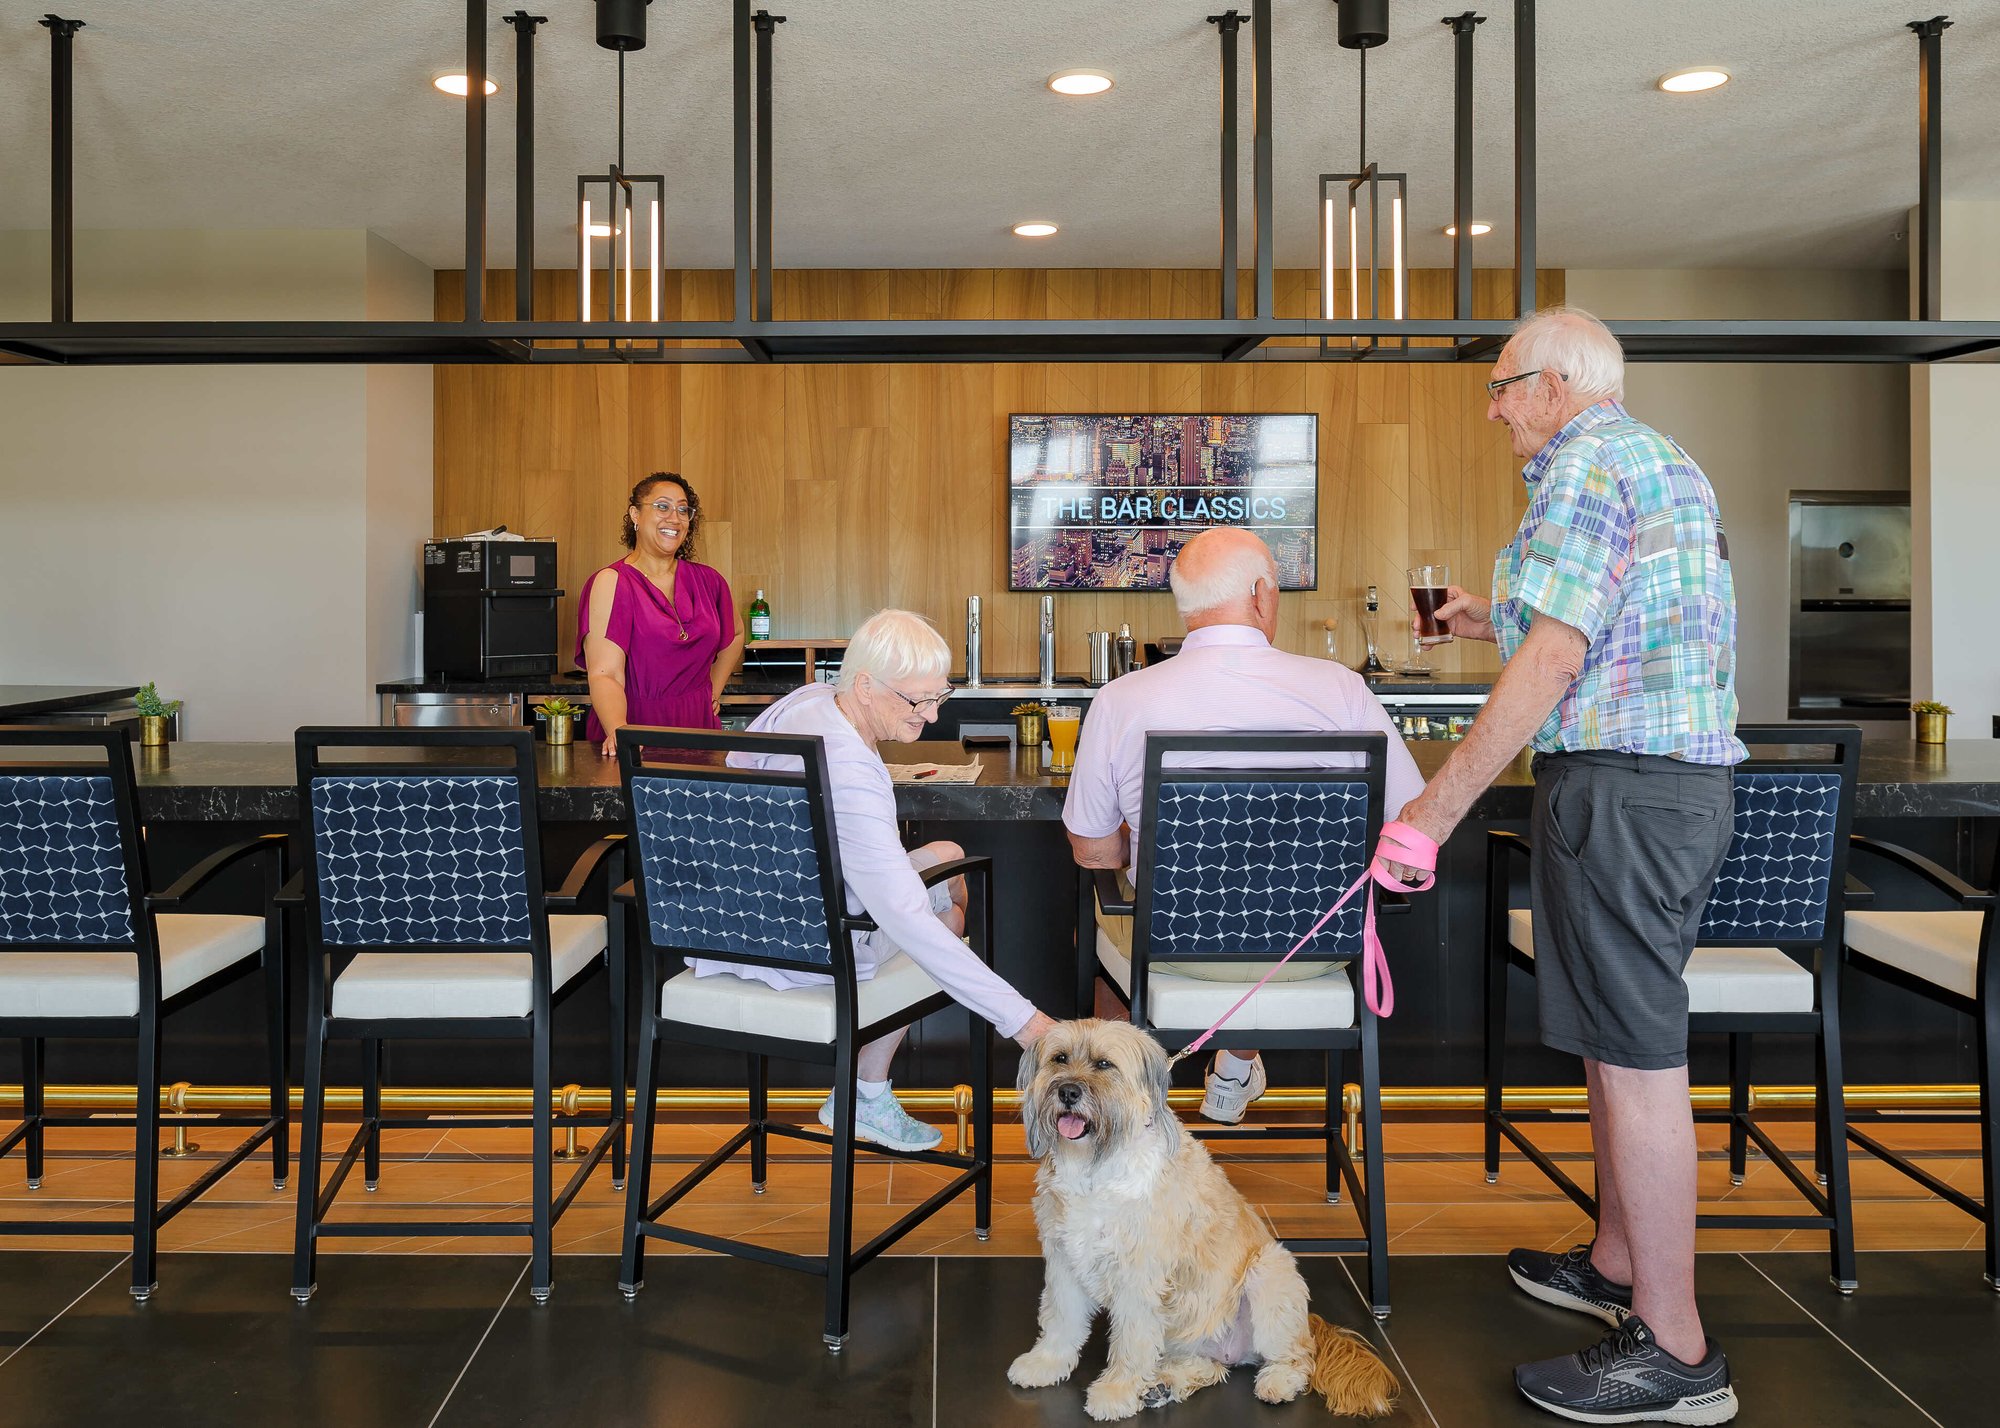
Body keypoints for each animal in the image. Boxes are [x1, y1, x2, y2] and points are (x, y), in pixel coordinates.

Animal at [1008, 1012, 1400, 1416]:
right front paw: (1046, 1363)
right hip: (1189, 1337)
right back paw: (1164, 1385)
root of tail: (1310, 1322)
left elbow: (1132, 1340)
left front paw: (1116, 1391)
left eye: (1104, 1064)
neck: (1094, 1168)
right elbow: (1061, 1319)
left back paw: (1277, 1381)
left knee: (1297, 1357)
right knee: (1210, 1368)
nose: (1068, 1092)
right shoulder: (1064, 1261)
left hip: (1270, 1274)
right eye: (1060, 1059)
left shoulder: (1139, 1277)